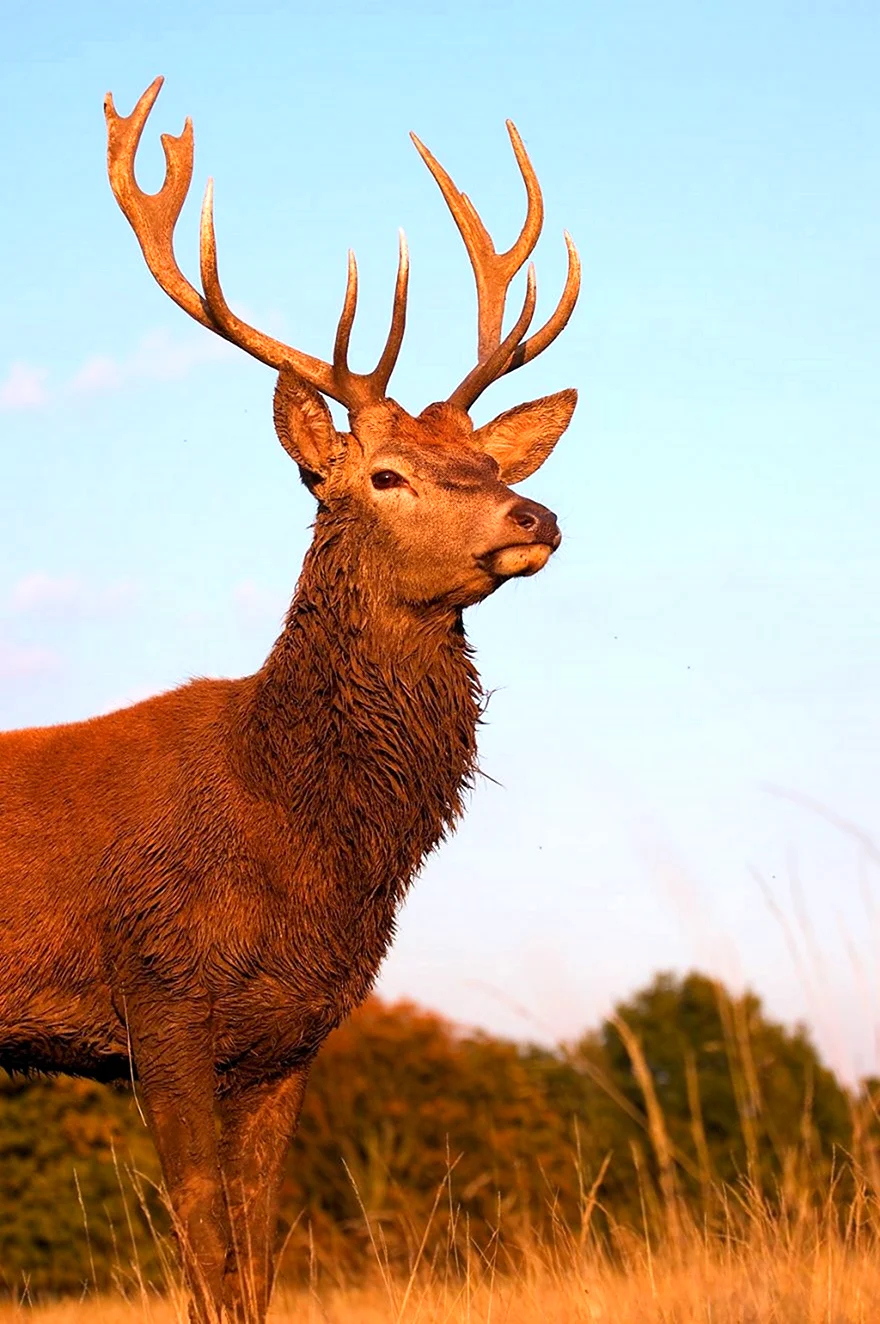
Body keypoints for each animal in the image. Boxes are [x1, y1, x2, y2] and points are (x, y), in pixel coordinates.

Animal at [0, 77, 579, 1318]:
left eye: (486, 460)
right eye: (384, 474)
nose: (536, 515)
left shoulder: (290, 1038)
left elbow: (258, 1262)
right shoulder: (161, 996)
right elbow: (206, 1262)